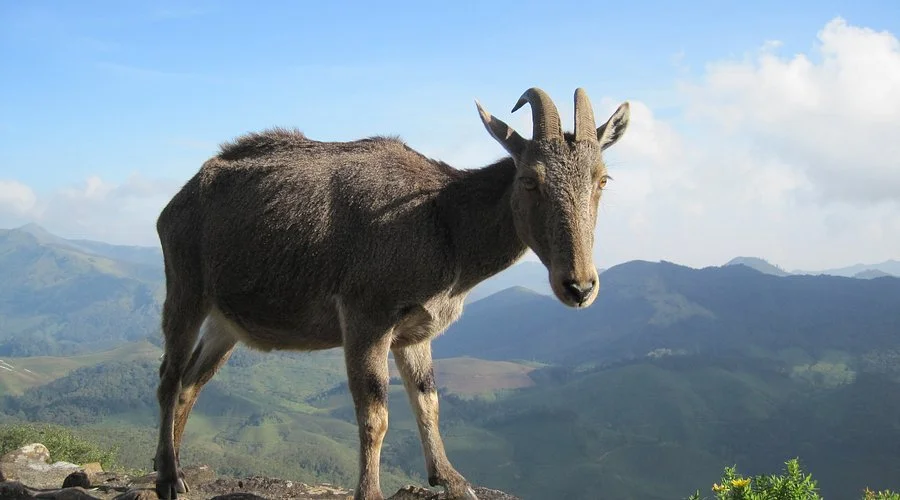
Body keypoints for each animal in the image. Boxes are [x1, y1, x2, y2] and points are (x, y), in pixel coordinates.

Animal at [153, 87, 630, 500]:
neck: (444, 222)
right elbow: (375, 415)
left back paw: (174, 467)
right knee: (169, 378)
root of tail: (178, 200)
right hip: (185, 290)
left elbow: (428, 401)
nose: (579, 286)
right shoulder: (367, 318)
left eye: (602, 179)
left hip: (225, 324)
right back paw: (169, 477)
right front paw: (370, 492)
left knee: (192, 383)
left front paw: (451, 478)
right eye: (530, 179)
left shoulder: (414, 331)